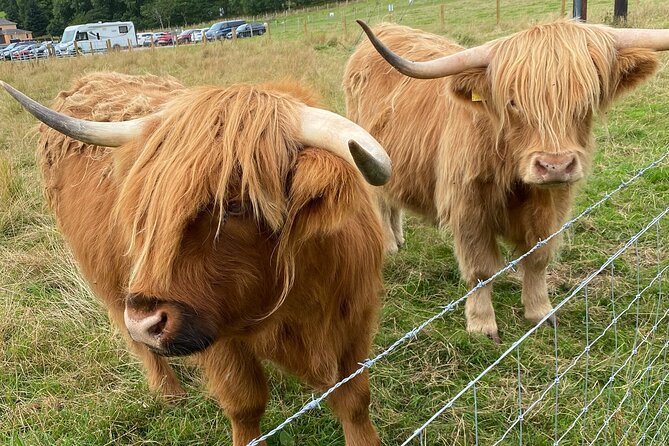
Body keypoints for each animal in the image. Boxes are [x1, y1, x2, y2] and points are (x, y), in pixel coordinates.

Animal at [344, 20, 668, 342]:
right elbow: (481, 270)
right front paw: (481, 324)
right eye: (513, 103)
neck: (513, 176)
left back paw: (398, 238)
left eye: (587, 100)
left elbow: (538, 259)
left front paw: (540, 311)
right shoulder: (468, 209)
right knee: (380, 202)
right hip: (368, 156)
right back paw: (389, 245)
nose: (554, 166)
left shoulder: (552, 208)